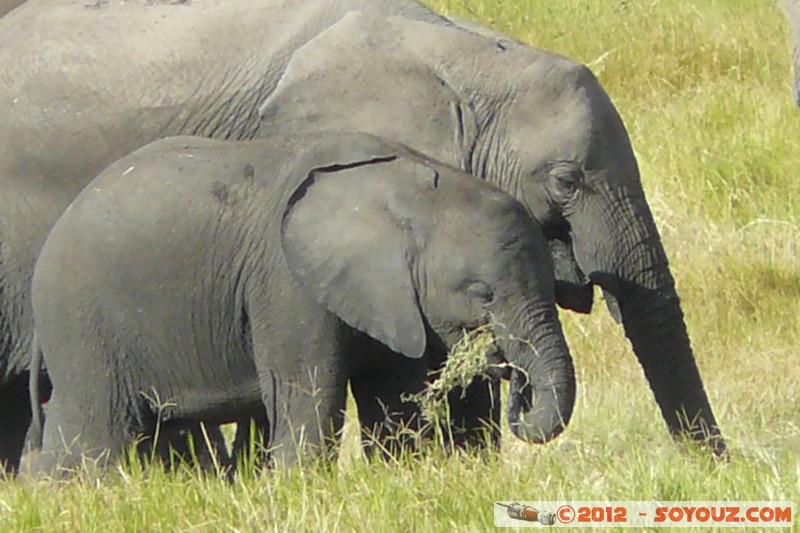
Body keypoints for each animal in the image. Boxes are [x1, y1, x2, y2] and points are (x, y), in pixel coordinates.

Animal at [25, 132, 576, 474]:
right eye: (482, 293)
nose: (513, 378)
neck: (411, 185)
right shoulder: (285, 282)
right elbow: (308, 393)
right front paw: (296, 482)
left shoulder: (392, 295)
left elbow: (394, 398)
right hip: (80, 317)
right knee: (94, 436)